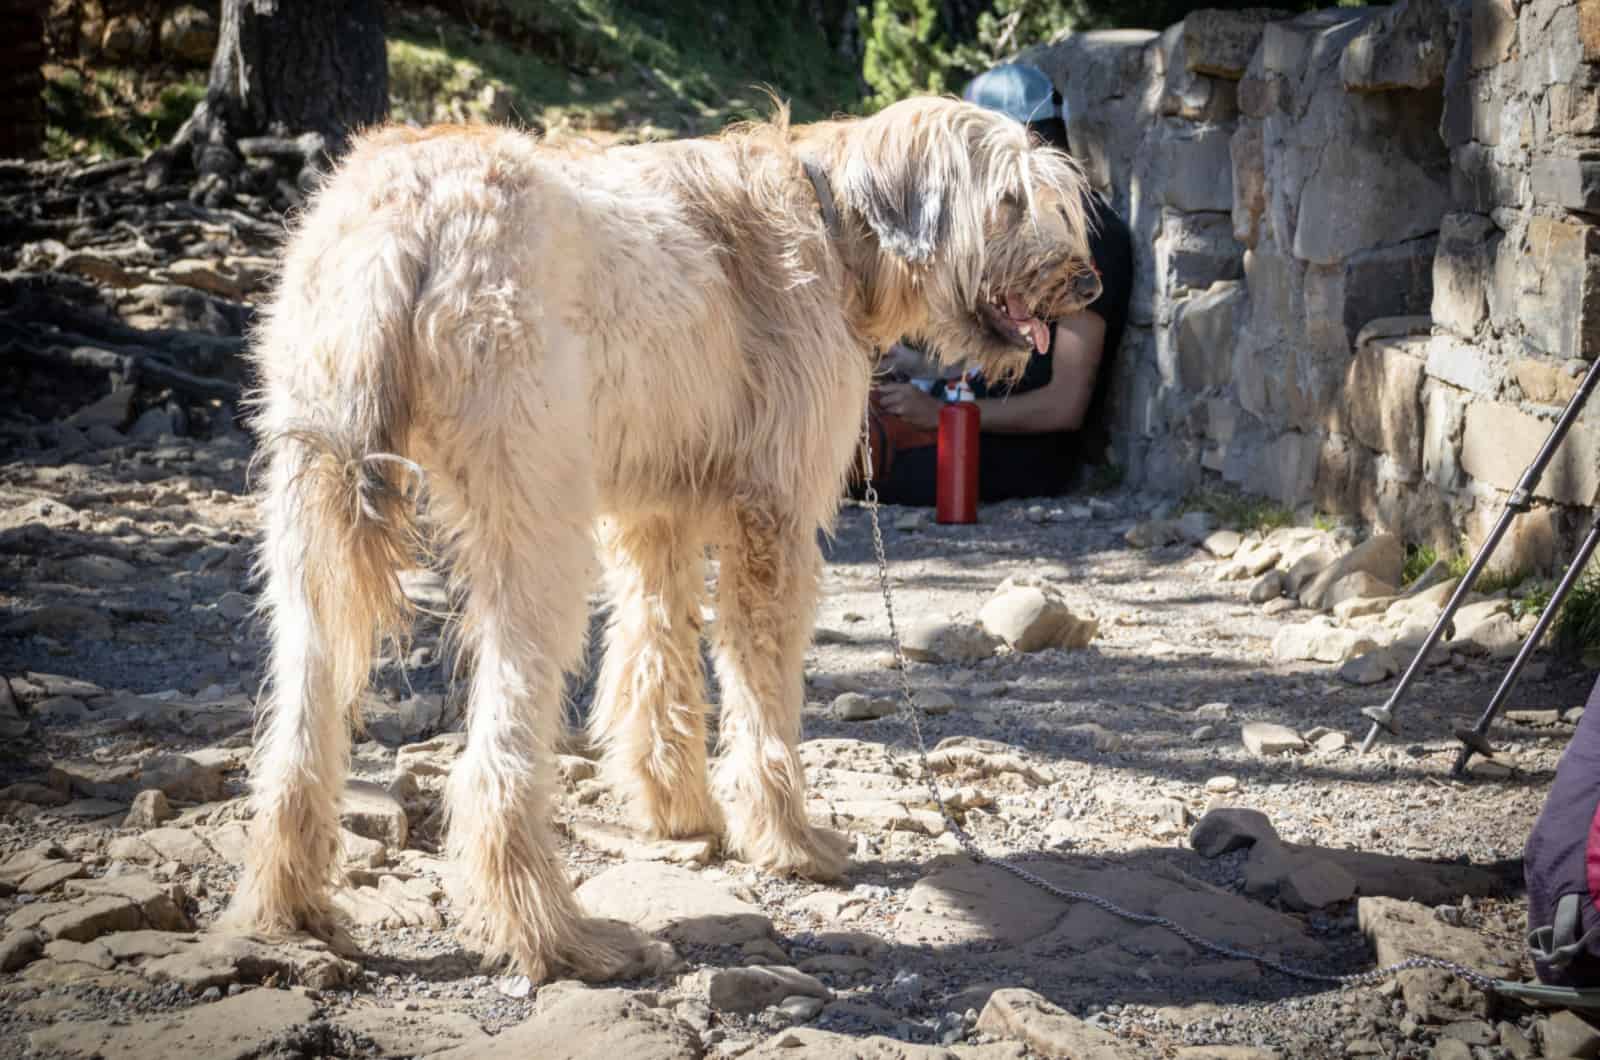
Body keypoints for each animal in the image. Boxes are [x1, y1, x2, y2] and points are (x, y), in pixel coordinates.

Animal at [236, 95, 1107, 986]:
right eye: (1009, 201)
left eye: (1055, 201)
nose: (1089, 284)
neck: (835, 222)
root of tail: (407, 211)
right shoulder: (772, 514)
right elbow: (764, 693)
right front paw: (790, 840)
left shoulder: (656, 514)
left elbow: (656, 655)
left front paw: (678, 811)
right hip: (535, 522)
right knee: (494, 763)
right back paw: (559, 936)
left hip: (308, 512)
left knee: (301, 724)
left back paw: (291, 905)